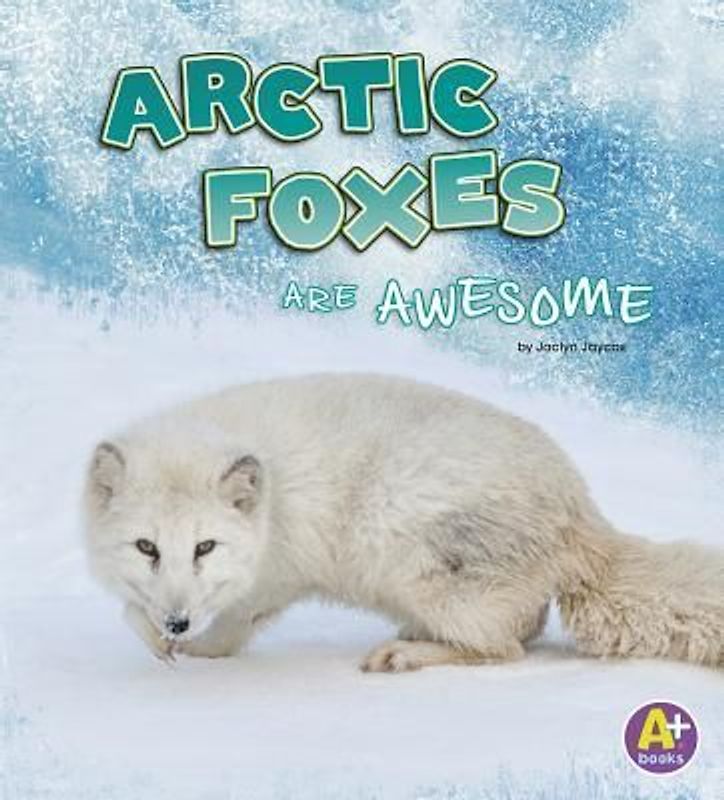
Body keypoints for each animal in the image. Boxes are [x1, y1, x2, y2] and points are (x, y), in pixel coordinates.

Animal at [84, 373, 724, 672]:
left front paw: (193, 651)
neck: (273, 501)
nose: (178, 620)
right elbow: (129, 609)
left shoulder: (276, 577)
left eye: (205, 547)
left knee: (505, 650)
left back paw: (406, 656)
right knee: (523, 630)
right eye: (146, 547)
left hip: (405, 549)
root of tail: (582, 512)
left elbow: (232, 626)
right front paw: (159, 639)